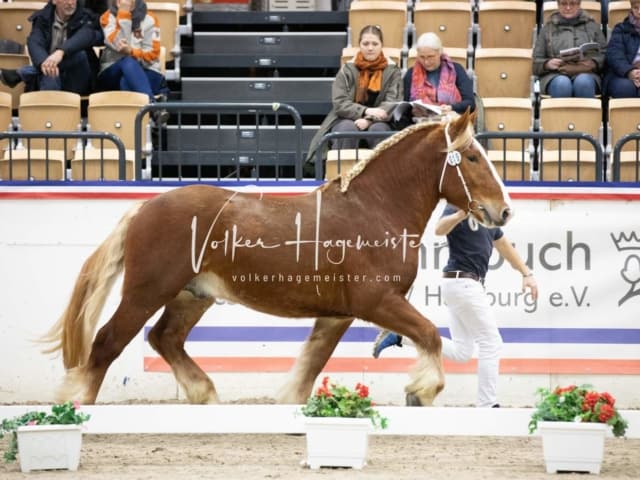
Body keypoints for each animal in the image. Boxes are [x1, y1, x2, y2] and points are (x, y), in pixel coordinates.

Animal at [42, 111, 512, 404]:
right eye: (472, 157)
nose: (502, 210)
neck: (374, 209)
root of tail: (143, 208)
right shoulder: (376, 302)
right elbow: (430, 334)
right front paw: (422, 389)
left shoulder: (337, 315)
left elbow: (309, 367)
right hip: (146, 292)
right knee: (107, 343)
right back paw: (78, 404)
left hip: (191, 296)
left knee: (165, 338)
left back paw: (204, 395)